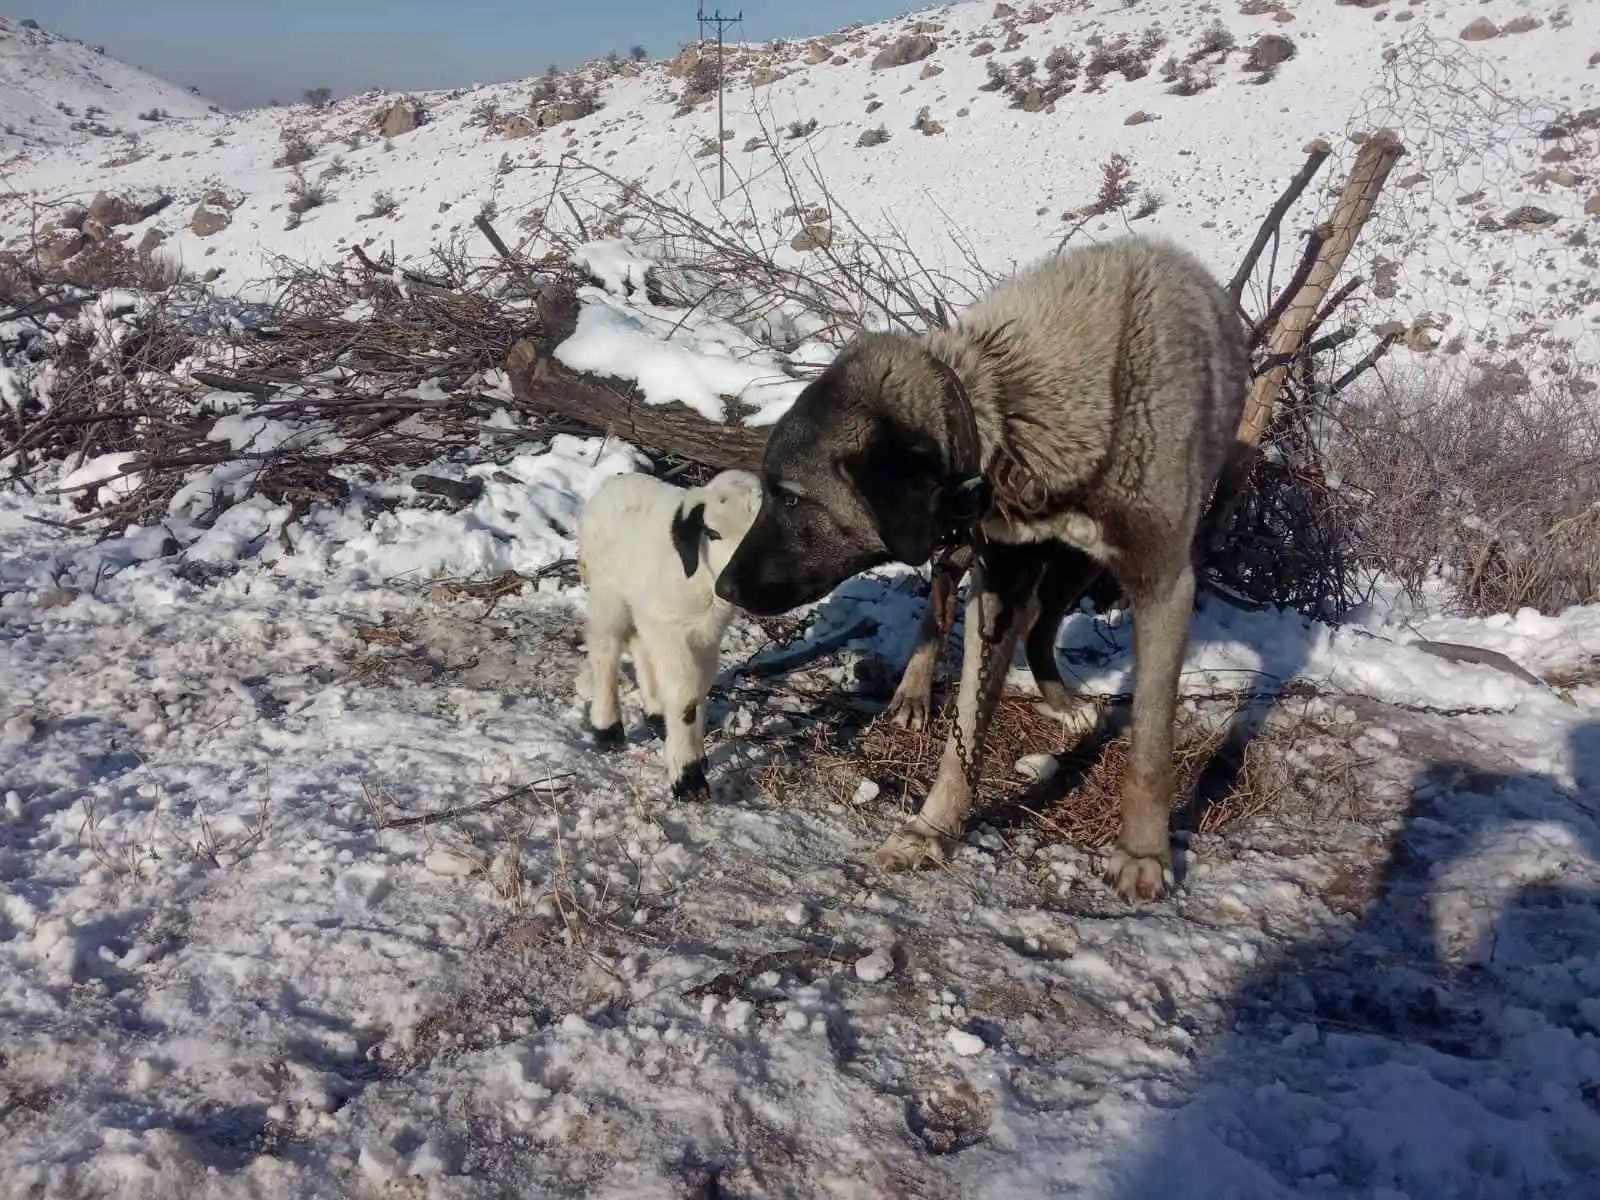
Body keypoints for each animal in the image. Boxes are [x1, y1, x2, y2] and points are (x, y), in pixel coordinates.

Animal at [576, 467, 761, 800]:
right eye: (712, 533)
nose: (734, 585)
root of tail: (614, 481)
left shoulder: (705, 634)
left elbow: (700, 688)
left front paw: (694, 751)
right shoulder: (671, 629)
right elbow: (685, 695)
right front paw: (688, 777)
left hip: (643, 607)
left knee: (640, 645)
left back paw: (656, 715)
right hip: (608, 591)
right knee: (605, 647)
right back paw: (607, 727)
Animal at [713, 235, 1248, 902]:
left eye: (789, 498)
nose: (723, 586)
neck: (1015, 404)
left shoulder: (1162, 584)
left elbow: (1150, 744)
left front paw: (1143, 852)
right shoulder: (996, 578)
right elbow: (964, 724)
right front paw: (933, 829)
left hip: (1073, 568)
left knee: (1041, 628)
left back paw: (1060, 699)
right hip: (975, 555)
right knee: (947, 610)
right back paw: (915, 693)